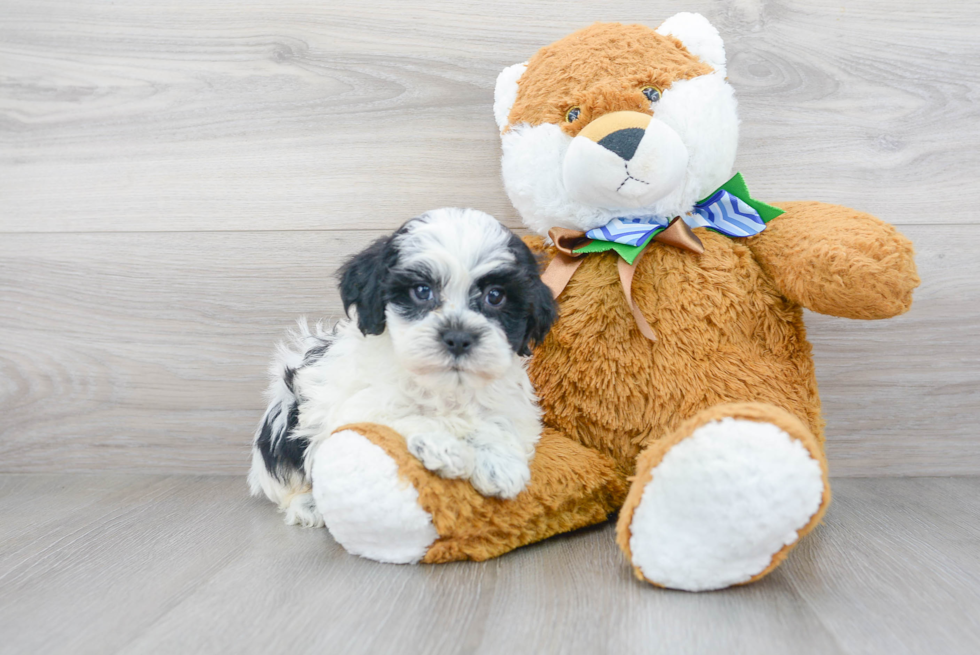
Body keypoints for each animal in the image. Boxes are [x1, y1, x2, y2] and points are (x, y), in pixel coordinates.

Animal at [249, 209, 556, 528]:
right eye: (422, 291)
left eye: (495, 296)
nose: (458, 337)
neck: (444, 385)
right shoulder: (357, 408)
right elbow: (401, 417)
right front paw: (444, 446)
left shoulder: (511, 404)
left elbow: (498, 421)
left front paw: (499, 462)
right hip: (285, 420)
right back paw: (306, 504)